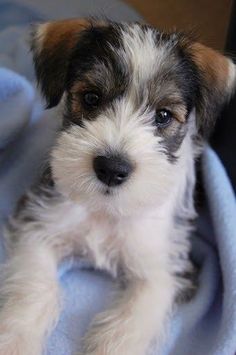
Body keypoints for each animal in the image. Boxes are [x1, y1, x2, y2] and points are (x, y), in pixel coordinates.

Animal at [0, 18, 234, 355]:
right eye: (91, 98)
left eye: (163, 115)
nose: (112, 169)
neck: (106, 209)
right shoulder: (38, 222)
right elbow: (36, 287)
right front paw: (15, 340)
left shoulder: (166, 267)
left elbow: (135, 316)